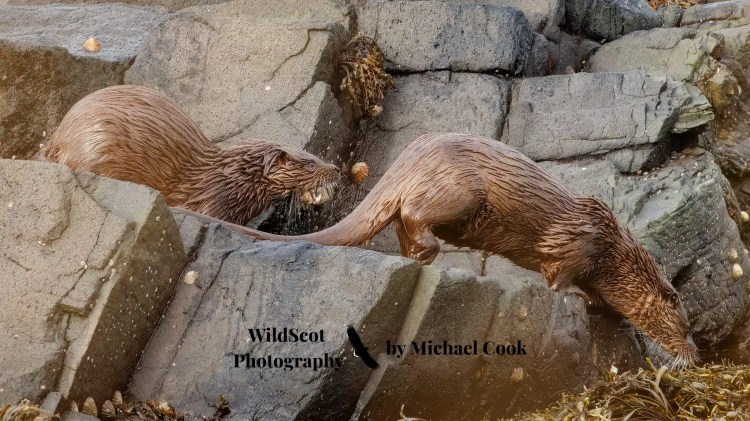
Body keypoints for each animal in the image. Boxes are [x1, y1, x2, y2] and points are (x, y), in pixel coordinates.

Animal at [36, 85, 340, 226]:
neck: (231, 182)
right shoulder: (214, 206)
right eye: (310, 164)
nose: (336, 169)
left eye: (315, 154)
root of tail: (60, 137)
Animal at [173, 132, 698, 367]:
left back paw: (418, 257)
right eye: (686, 326)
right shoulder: (578, 242)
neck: (615, 250)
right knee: (411, 213)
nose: (694, 353)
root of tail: (409, 157)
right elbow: (559, 275)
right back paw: (428, 250)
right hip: (457, 189)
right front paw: (583, 298)